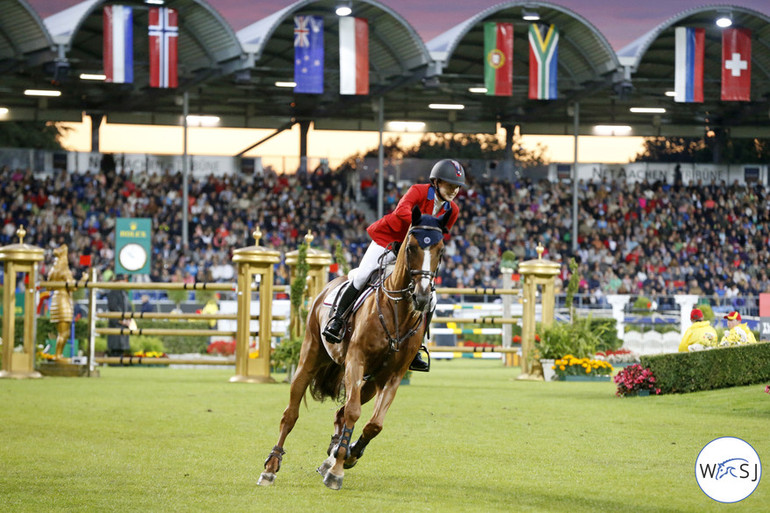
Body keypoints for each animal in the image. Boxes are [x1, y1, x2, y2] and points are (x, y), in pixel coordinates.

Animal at [260, 206, 450, 490]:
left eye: (441, 249)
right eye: (411, 247)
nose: (422, 296)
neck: (398, 312)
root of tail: (330, 283)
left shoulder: (393, 376)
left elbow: (374, 424)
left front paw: (348, 456)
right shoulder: (356, 361)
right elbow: (353, 411)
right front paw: (337, 472)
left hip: (369, 383)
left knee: (340, 413)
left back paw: (333, 455)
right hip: (310, 358)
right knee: (291, 414)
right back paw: (271, 467)